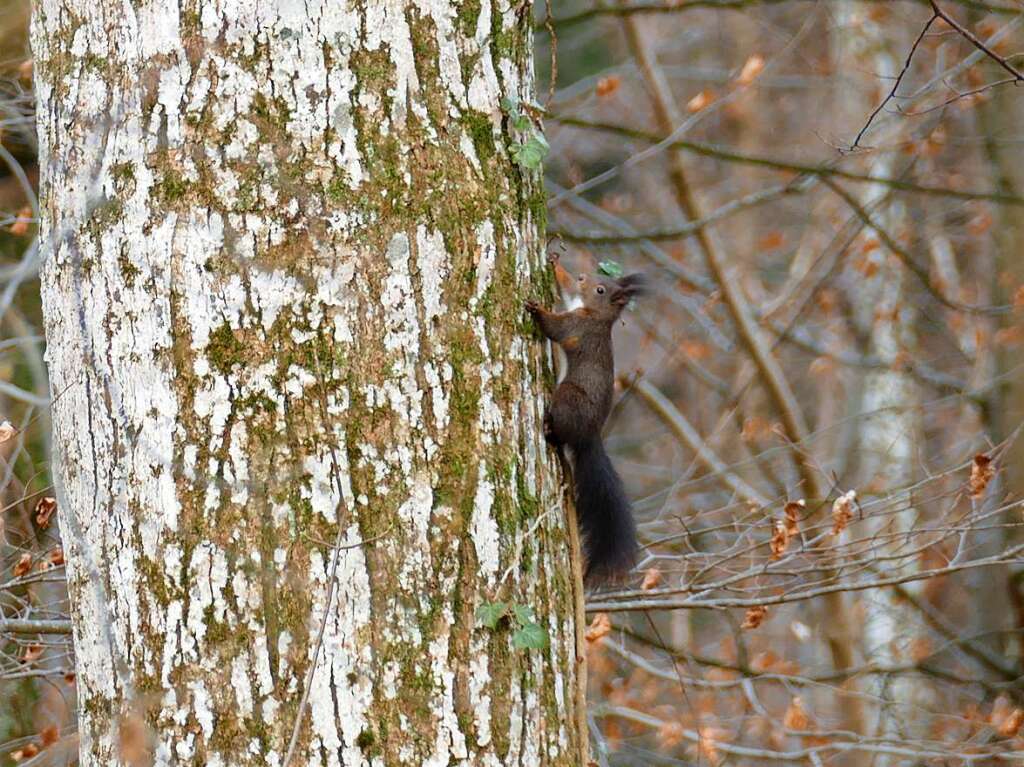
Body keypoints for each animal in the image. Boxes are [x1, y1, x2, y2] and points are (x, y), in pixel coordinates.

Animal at [528, 268, 647, 581]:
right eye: (596, 283)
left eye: (601, 290)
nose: (582, 277)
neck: (597, 316)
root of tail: (591, 436)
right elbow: (564, 289)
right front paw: (557, 266)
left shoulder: (577, 326)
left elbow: (554, 328)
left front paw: (537, 310)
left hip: (568, 397)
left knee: (562, 431)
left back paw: (550, 430)